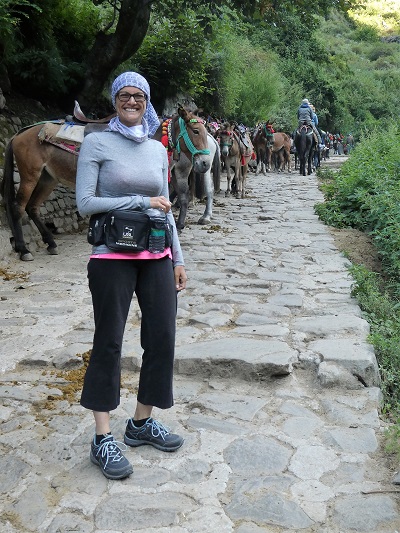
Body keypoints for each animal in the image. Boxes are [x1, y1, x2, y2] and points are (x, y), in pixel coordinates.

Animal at [0, 105, 211, 258]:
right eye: (195, 131)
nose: (205, 163)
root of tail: (19, 134)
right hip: (30, 176)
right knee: (18, 207)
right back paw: (24, 249)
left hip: (48, 178)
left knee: (32, 207)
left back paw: (50, 243)